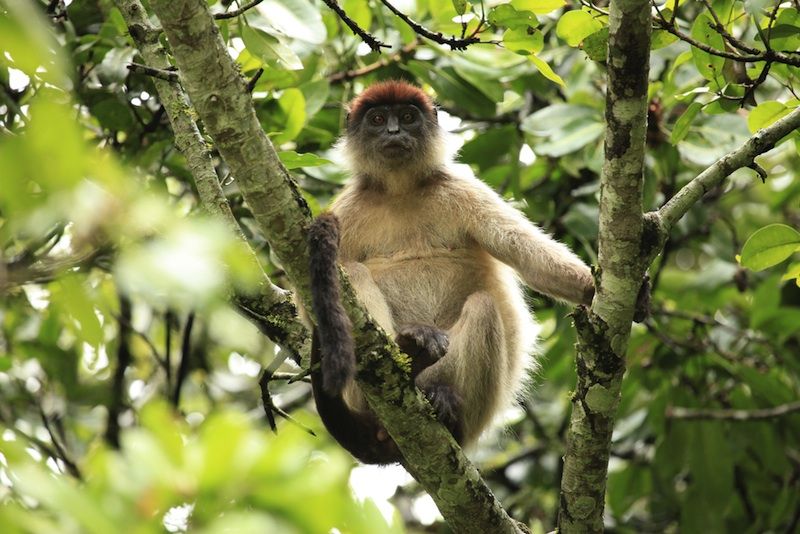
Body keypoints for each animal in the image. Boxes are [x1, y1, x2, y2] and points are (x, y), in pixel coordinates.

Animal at [306, 79, 592, 464]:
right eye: (378, 119)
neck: (399, 190)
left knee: (483, 307)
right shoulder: (348, 207)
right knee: (351, 272)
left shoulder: (457, 187)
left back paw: (443, 403)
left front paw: (593, 288)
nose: (394, 132)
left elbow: (526, 254)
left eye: (408, 117)